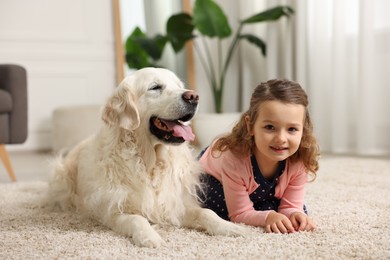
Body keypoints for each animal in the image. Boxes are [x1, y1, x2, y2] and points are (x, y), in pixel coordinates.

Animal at [46, 67, 247, 248]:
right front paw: (150, 237)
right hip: (62, 176)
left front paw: (229, 227)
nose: (193, 96)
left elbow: (206, 212)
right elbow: (137, 219)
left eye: (179, 85)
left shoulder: (173, 204)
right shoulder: (113, 211)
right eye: (155, 87)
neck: (151, 162)